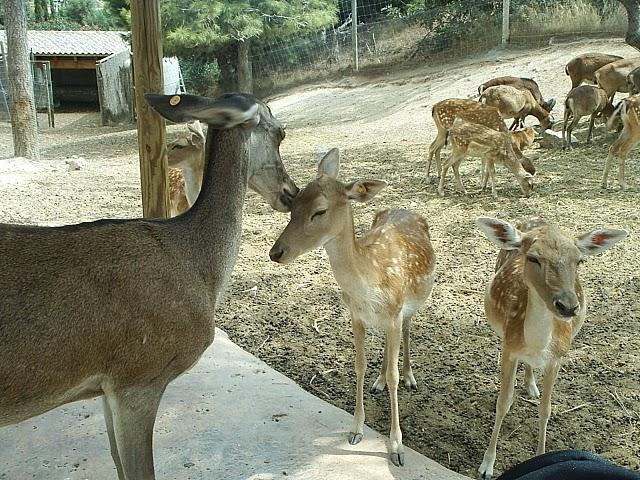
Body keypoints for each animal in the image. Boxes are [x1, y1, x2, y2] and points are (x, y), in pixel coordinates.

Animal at [268, 148, 438, 466]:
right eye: (293, 205)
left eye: (319, 211)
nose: (276, 252)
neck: (370, 281)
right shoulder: (356, 316)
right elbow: (359, 366)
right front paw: (356, 429)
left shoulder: (395, 312)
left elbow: (395, 374)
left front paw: (397, 446)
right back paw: (378, 381)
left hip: (412, 302)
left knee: (408, 331)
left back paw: (410, 376)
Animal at [476, 218, 632, 480]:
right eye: (533, 258)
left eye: (579, 261)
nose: (568, 307)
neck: (537, 344)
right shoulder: (509, 348)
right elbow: (503, 402)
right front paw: (487, 465)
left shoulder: (556, 358)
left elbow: (546, 409)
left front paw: (540, 457)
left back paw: (532, 386)